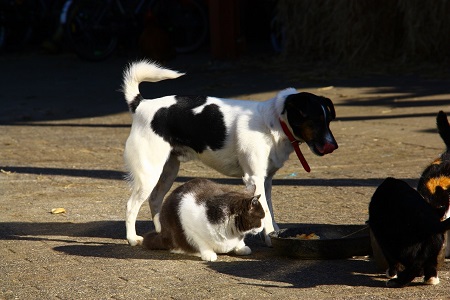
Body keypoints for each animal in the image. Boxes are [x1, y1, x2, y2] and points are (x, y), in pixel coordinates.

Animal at [121, 60, 336, 246]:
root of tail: (141, 105)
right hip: (149, 173)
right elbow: (266, 211)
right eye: (314, 120)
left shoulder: (266, 180)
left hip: (168, 170)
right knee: (131, 205)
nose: (333, 146)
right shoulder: (254, 178)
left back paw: (162, 233)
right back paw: (133, 238)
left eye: (329, 120)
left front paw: (274, 234)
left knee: (155, 199)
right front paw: (269, 238)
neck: (275, 122)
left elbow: (270, 210)